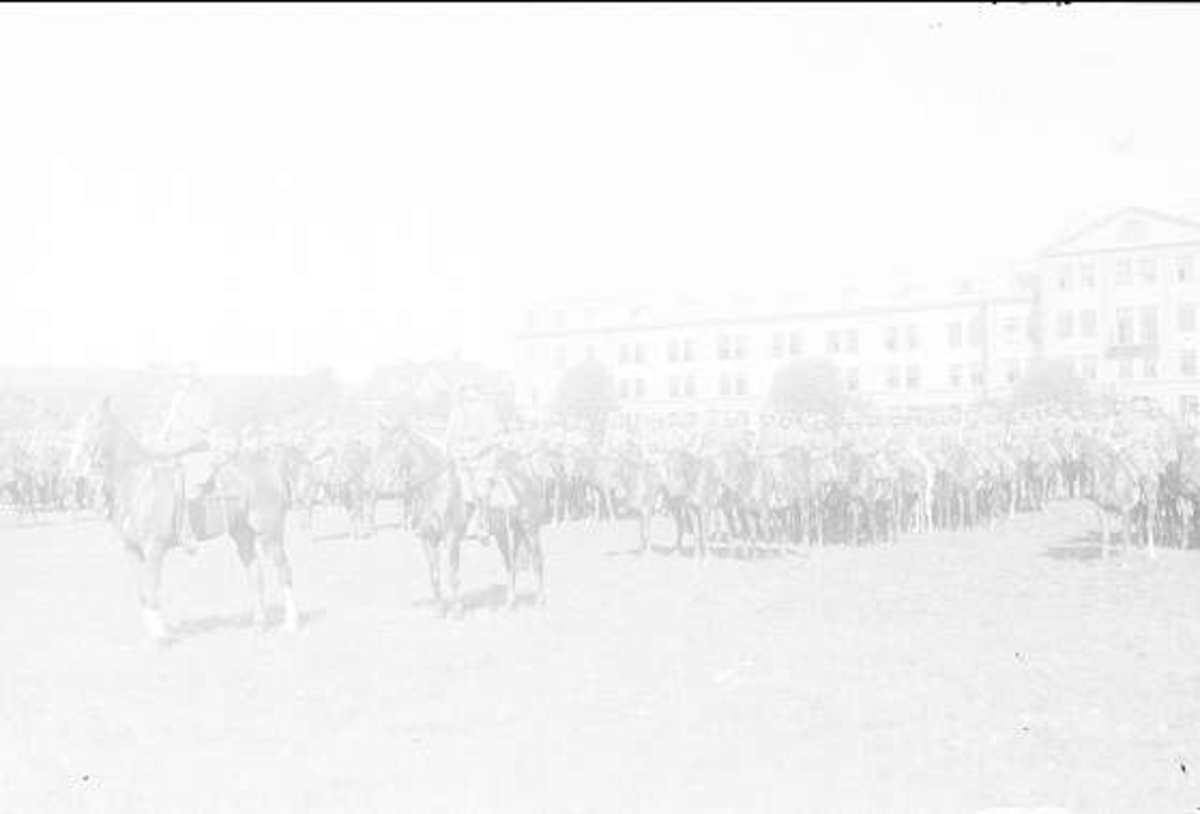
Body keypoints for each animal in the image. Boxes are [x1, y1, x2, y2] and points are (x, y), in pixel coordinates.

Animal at [68, 400, 300, 643]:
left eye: (95, 424)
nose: (73, 466)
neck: (138, 483)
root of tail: (271, 467)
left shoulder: (153, 549)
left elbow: (152, 589)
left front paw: (160, 636)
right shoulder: (131, 550)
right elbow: (142, 592)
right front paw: (152, 632)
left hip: (270, 534)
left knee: (284, 571)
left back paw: (291, 623)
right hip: (242, 534)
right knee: (255, 573)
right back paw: (259, 624)